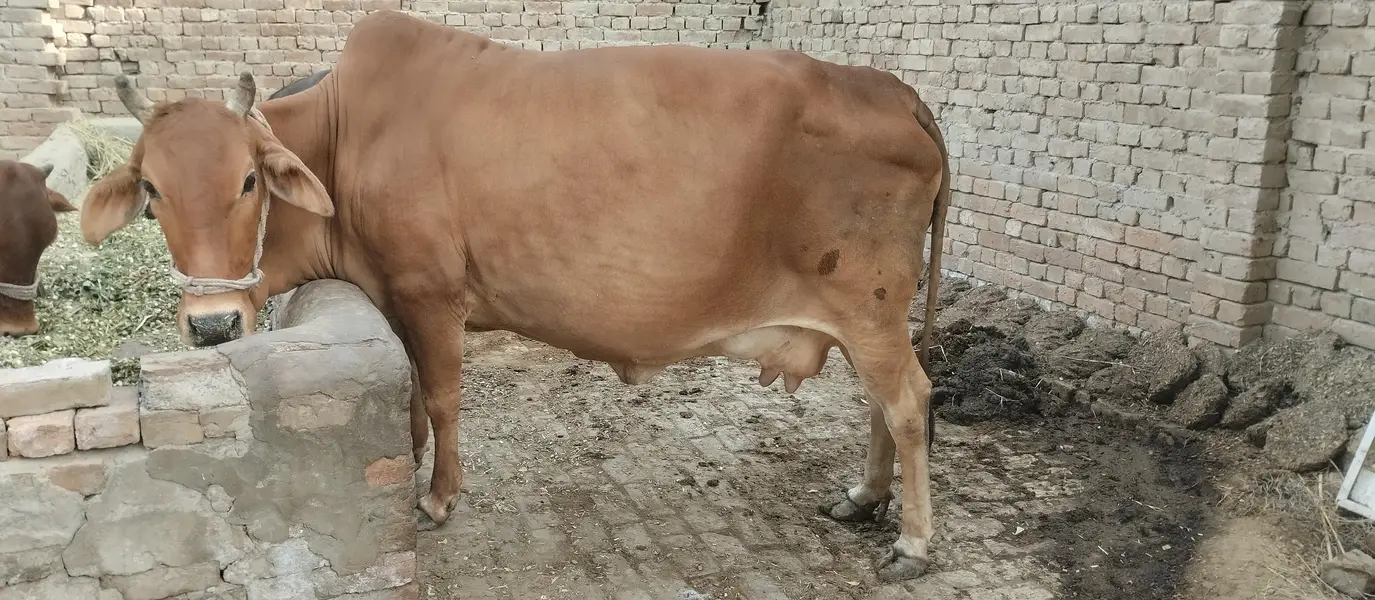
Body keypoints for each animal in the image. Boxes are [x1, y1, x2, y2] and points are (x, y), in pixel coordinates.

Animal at [77, 10, 950, 581]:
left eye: (248, 181)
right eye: (151, 191)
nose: (212, 324)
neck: (341, 134)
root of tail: (895, 89)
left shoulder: (429, 294)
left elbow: (439, 396)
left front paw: (437, 498)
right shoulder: (393, 298)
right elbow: (409, 401)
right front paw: (414, 465)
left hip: (869, 304)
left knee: (908, 402)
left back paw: (910, 542)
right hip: (866, 315)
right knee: (879, 404)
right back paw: (863, 496)